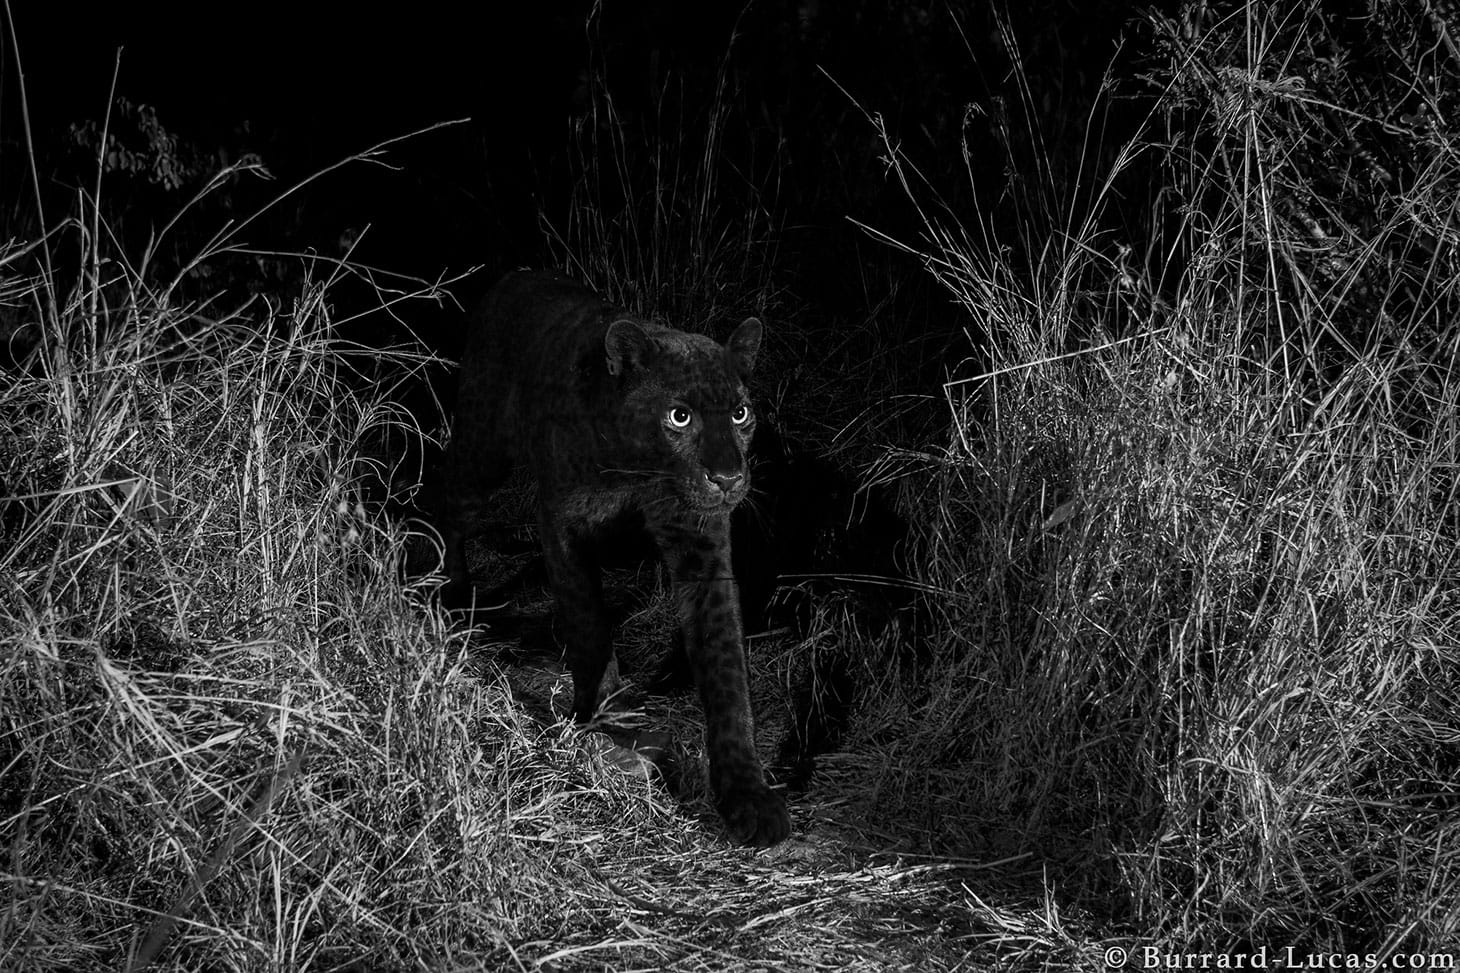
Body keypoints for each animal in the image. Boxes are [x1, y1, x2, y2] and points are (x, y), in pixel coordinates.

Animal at [435, 268, 790, 847]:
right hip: (484, 452)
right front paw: (604, 718)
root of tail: (514, 275)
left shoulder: (701, 545)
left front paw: (748, 796)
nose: (728, 477)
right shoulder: (562, 523)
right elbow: (588, 623)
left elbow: (725, 668)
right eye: (679, 416)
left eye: (740, 413)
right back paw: (447, 594)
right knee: (442, 495)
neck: (639, 470)